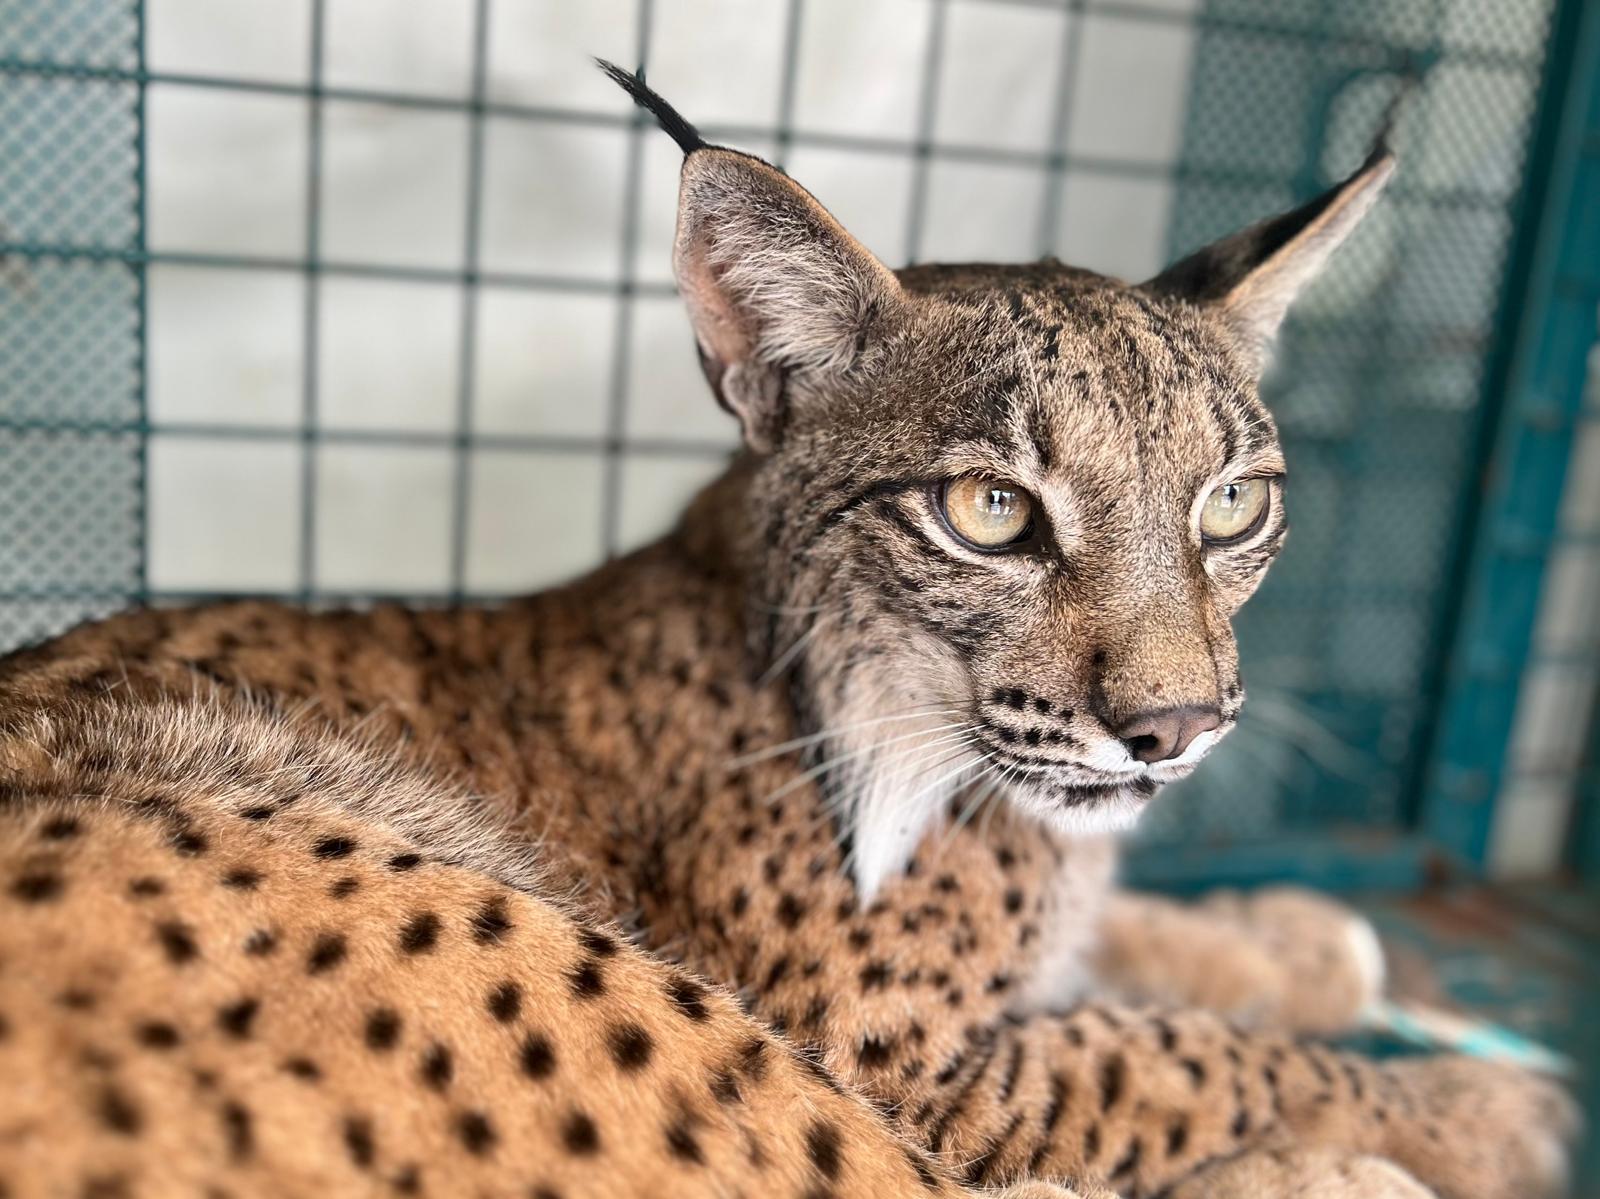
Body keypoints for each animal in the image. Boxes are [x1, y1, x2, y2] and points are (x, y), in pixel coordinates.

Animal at [0, 64, 1576, 1199]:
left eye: (1234, 503)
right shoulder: (902, 1058)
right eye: (991, 512)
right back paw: (1359, 1165)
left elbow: (1116, 948)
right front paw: (1472, 1106)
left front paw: (1285, 938)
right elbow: (1171, 1059)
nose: (1179, 729)